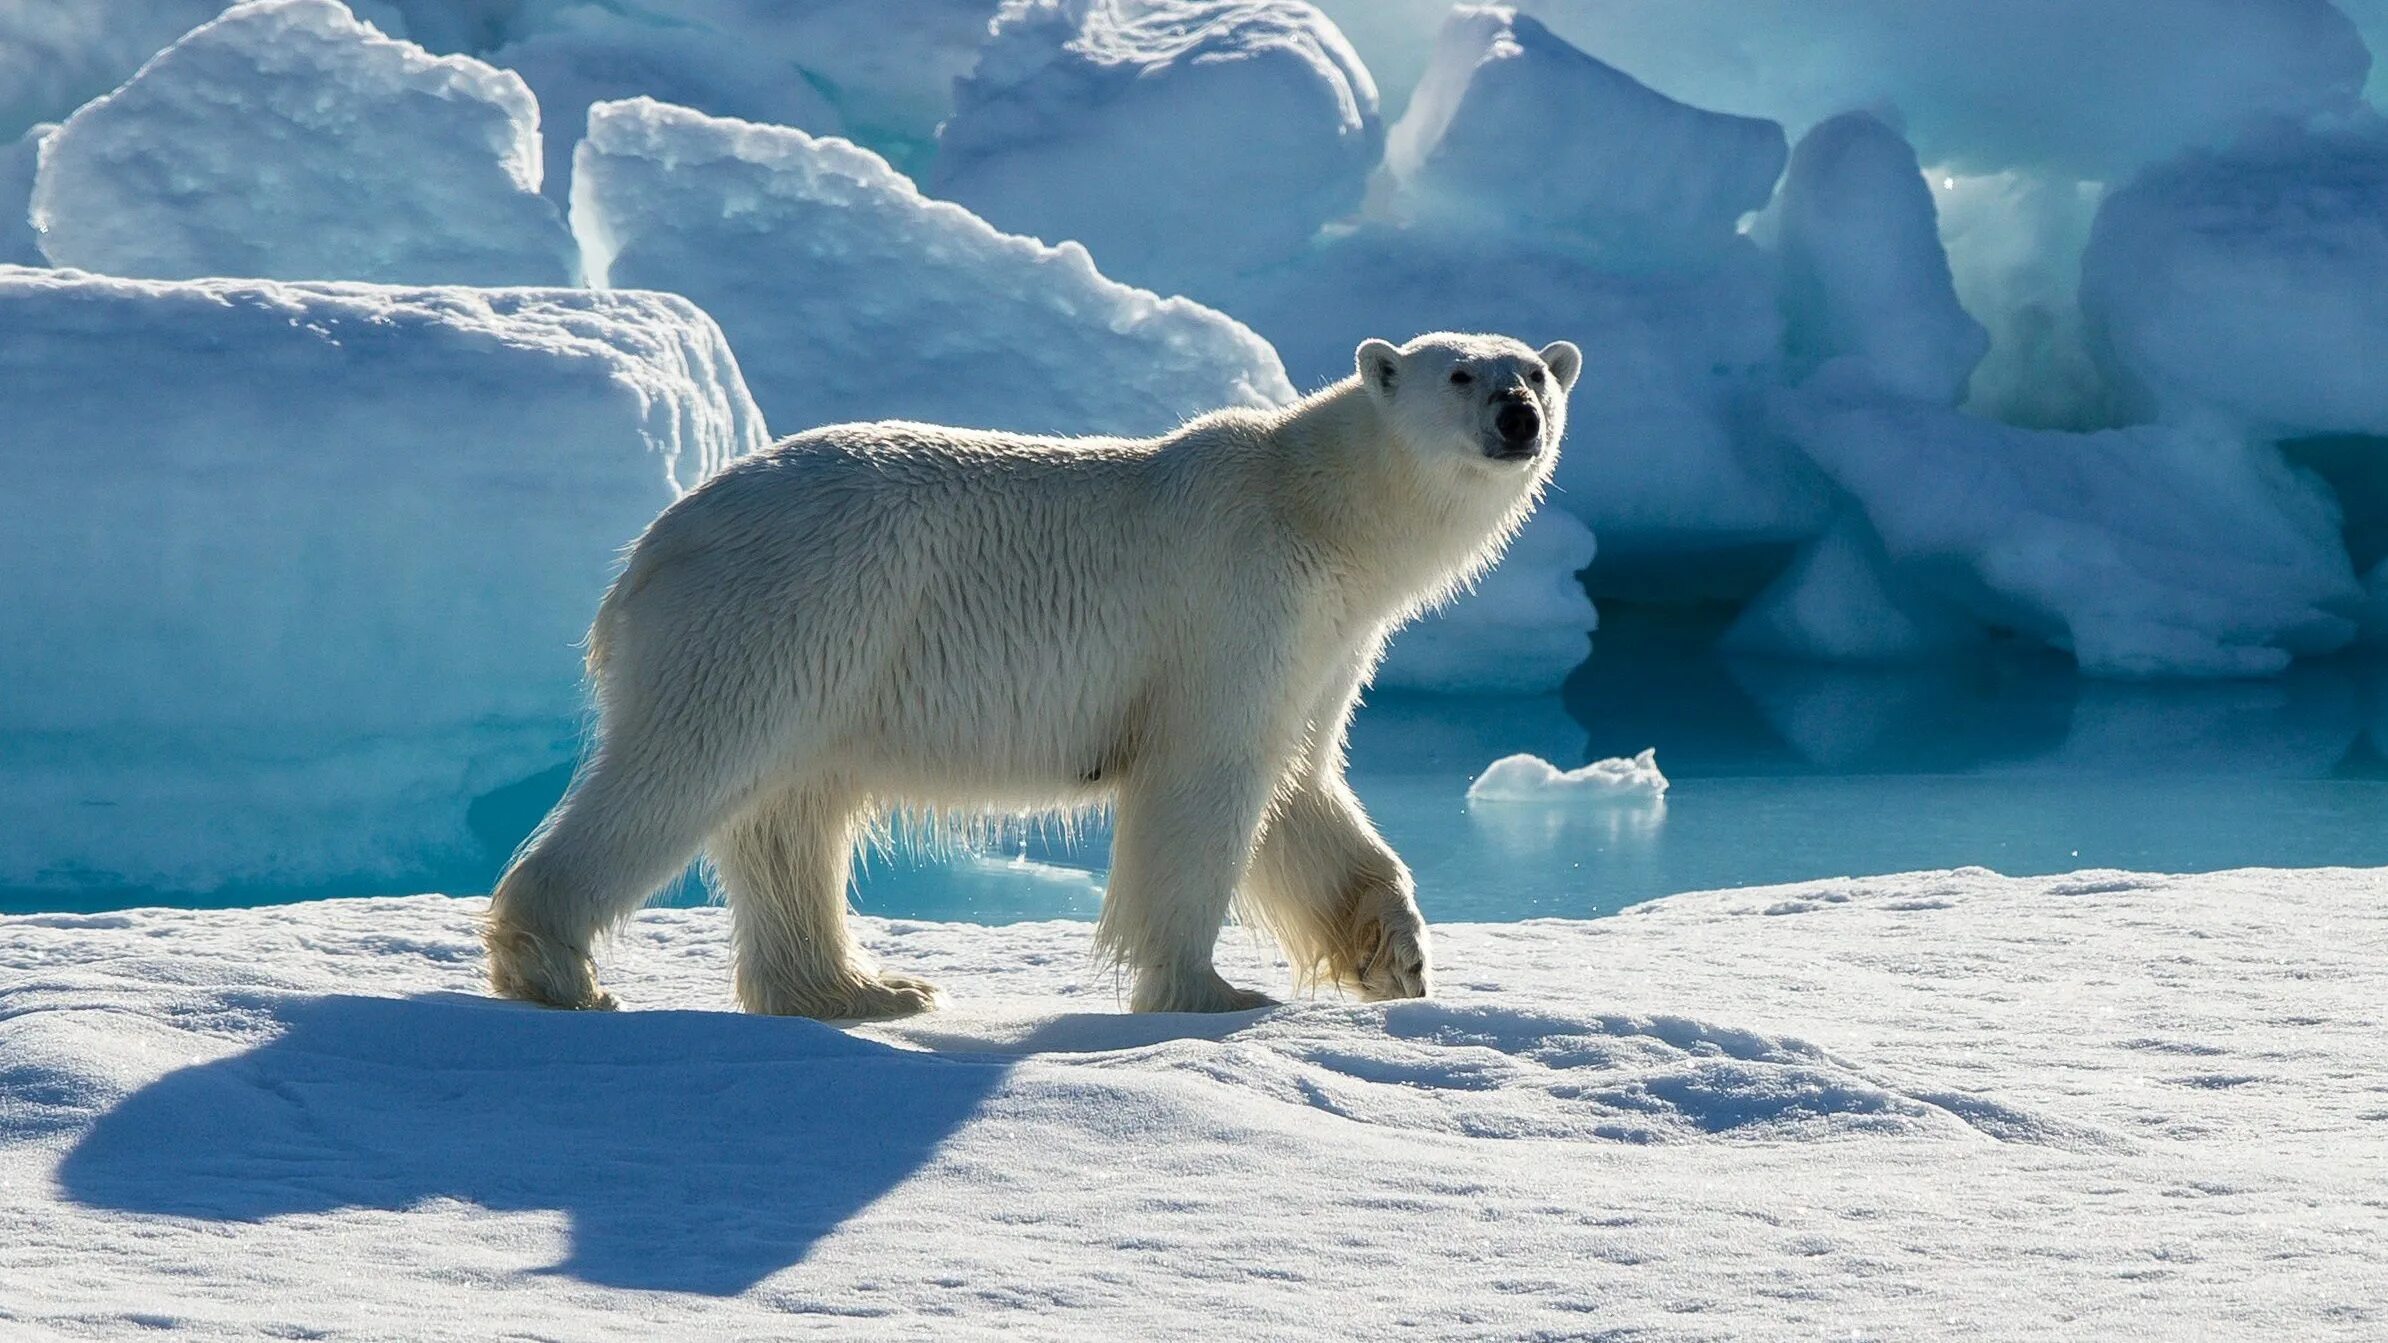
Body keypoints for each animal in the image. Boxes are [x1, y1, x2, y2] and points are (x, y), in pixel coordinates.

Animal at [484, 332, 1585, 1013]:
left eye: (1536, 370)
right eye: (1459, 373)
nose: (1519, 415)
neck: (1315, 508)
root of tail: (648, 550)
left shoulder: (1325, 643)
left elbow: (1302, 787)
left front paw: (1396, 952)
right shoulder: (1234, 601)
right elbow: (1207, 783)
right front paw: (1211, 991)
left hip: (828, 659)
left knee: (792, 816)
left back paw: (867, 988)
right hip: (779, 614)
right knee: (683, 771)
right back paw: (556, 968)